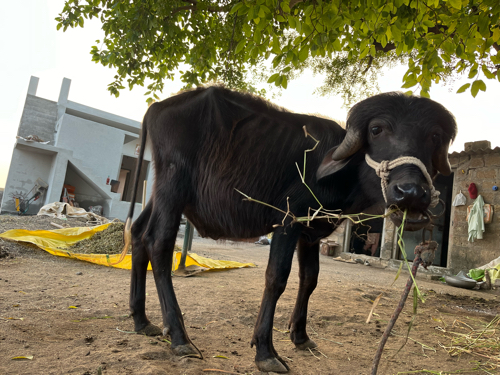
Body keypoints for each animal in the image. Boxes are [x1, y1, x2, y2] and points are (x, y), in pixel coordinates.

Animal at [122, 87, 458, 374]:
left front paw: (301, 335)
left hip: (159, 192)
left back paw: (142, 320)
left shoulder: (310, 235)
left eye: (434, 135)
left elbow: (309, 280)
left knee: (138, 234)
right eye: (377, 130)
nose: (411, 192)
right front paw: (266, 352)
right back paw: (180, 338)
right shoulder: (288, 222)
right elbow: (277, 278)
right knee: (159, 243)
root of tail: (157, 107)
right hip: (173, 186)